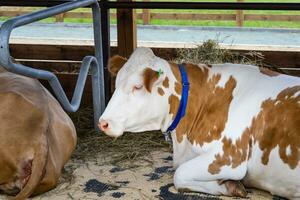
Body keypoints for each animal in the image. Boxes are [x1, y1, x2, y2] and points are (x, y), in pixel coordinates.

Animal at [99, 47, 300, 199]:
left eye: (138, 86)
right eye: (116, 83)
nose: (103, 122)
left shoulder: (229, 158)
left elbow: (179, 175)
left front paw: (232, 186)